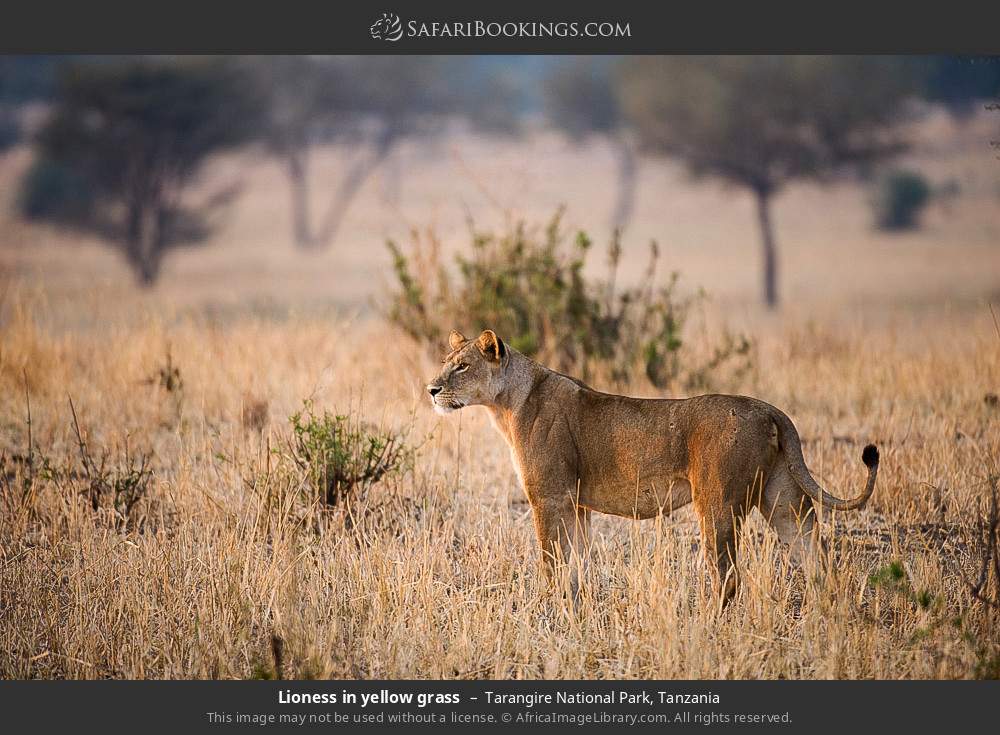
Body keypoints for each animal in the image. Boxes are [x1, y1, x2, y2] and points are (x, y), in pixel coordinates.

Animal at [426, 329, 879, 604]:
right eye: (446, 360)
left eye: (462, 366)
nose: (431, 389)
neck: (507, 404)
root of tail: (770, 409)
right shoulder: (576, 504)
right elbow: (577, 564)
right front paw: (577, 608)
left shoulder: (548, 498)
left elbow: (551, 562)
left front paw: (547, 608)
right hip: (783, 499)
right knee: (816, 555)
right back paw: (829, 610)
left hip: (717, 502)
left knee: (729, 576)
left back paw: (708, 624)